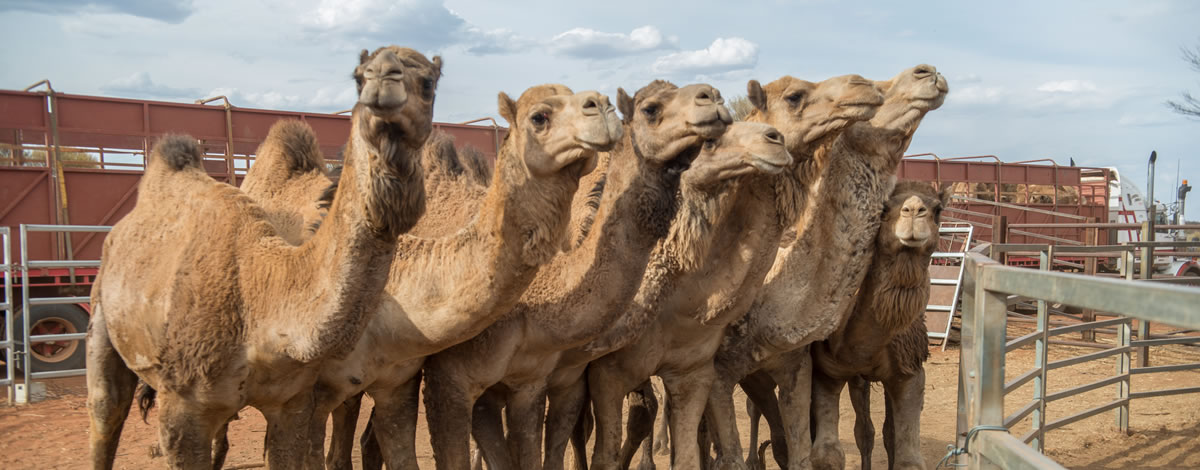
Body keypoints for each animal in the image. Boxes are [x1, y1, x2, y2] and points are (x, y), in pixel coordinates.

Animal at [85, 46, 440, 469]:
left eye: (429, 83)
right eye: (358, 77)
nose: (384, 82)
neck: (259, 298)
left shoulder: (291, 402)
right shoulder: (181, 411)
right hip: (101, 313)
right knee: (107, 410)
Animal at [807, 180, 949, 470]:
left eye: (938, 209)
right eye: (884, 207)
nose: (913, 210)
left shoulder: (910, 372)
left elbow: (908, 458)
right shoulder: (826, 371)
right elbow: (827, 454)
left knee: (884, 431)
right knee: (865, 430)